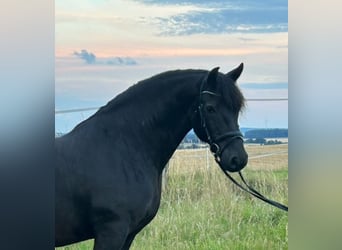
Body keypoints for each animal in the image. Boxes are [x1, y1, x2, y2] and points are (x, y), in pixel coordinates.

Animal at [55, 63, 248, 249]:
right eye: (210, 108)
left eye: (237, 109)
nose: (238, 158)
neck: (122, 147)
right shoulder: (111, 232)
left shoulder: (129, 234)